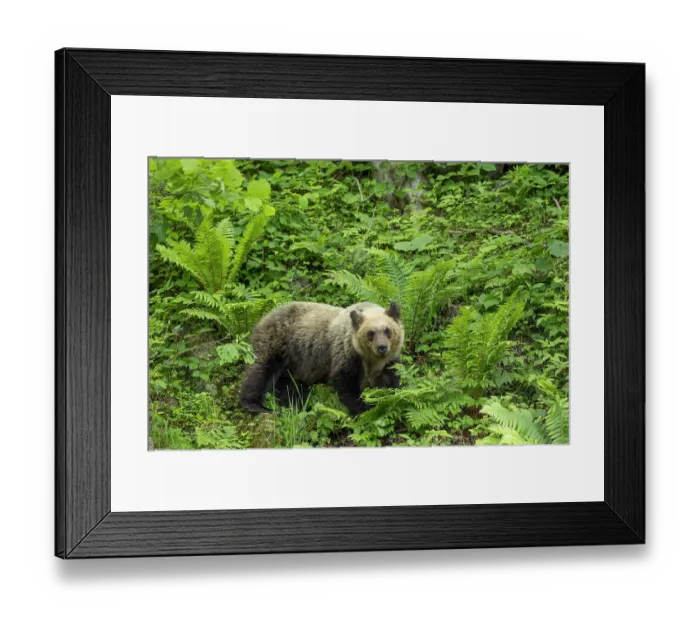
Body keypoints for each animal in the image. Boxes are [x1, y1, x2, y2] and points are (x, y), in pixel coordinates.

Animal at [239, 301, 404, 415]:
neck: (371, 360)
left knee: (293, 390)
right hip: (278, 343)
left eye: (387, 330)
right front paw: (364, 406)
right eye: (370, 333)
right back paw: (257, 405)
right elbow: (345, 382)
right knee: (261, 372)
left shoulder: (388, 363)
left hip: (295, 366)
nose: (382, 347)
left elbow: (391, 379)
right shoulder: (345, 353)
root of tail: (263, 318)